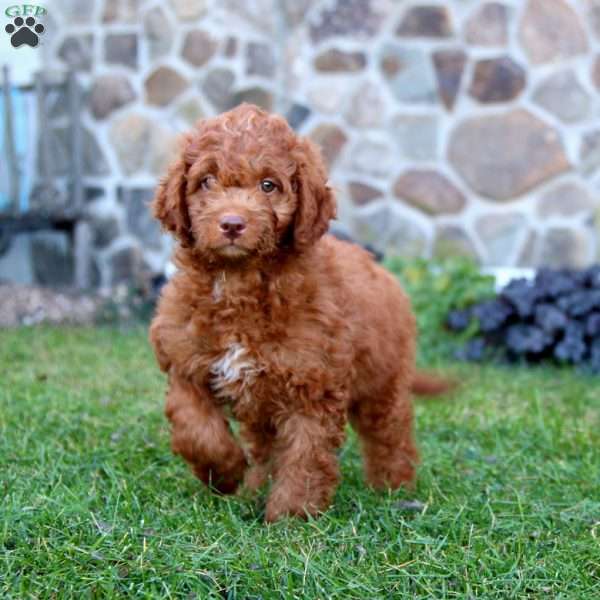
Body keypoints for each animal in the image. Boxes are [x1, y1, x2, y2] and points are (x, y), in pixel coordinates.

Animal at [151, 103, 446, 520]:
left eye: (268, 186)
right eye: (206, 181)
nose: (232, 224)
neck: (239, 284)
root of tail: (380, 266)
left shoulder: (312, 383)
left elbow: (305, 456)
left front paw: (291, 516)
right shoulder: (185, 363)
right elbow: (195, 428)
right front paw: (226, 473)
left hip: (382, 380)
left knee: (390, 433)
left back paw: (393, 487)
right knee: (264, 445)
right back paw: (254, 486)